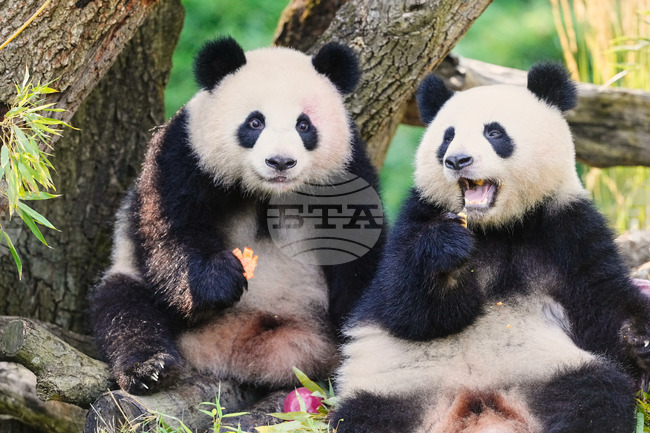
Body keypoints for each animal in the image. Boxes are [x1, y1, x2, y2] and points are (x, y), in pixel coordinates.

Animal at [89, 36, 384, 395]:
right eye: (255, 122)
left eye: (304, 125)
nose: (280, 162)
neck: (266, 194)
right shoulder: (182, 156)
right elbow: (171, 230)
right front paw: (219, 280)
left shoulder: (348, 173)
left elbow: (359, 253)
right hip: (131, 279)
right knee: (125, 310)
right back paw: (150, 368)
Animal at [332, 63, 650, 433]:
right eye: (447, 137)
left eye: (494, 132)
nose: (457, 160)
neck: (498, 227)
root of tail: (479, 406)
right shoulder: (417, 216)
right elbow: (402, 307)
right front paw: (447, 251)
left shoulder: (567, 227)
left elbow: (603, 302)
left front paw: (642, 339)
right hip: (397, 390)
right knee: (364, 416)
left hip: (549, 372)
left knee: (594, 395)